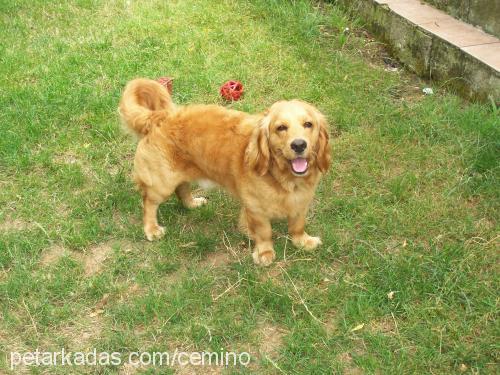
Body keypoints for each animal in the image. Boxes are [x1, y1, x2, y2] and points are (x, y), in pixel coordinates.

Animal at [118, 79, 330, 268]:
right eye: (281, 127)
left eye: (308, 124)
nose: (299, 145)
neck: (285, 179)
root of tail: (159, 116)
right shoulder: (256, 209)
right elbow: (264, 233)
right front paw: (264, 253)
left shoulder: (300, 202)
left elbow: (297, 226)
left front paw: (302, 241)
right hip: (162, 184)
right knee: (149, 203)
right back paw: (152, 229)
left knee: (182, 189)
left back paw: (192, 203)